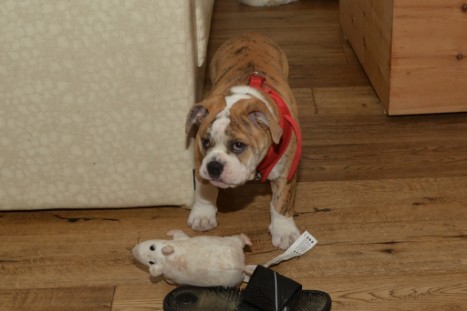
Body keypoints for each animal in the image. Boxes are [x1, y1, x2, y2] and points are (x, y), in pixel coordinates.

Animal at [185, 32, 302, 251]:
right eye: (205, 142)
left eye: (238, 145)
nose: (214, 166)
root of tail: (250, 34)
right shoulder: (199, 158)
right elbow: (204, 189)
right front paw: (203, 214)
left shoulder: (286, 171)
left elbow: (281, 202)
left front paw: (284, 231)